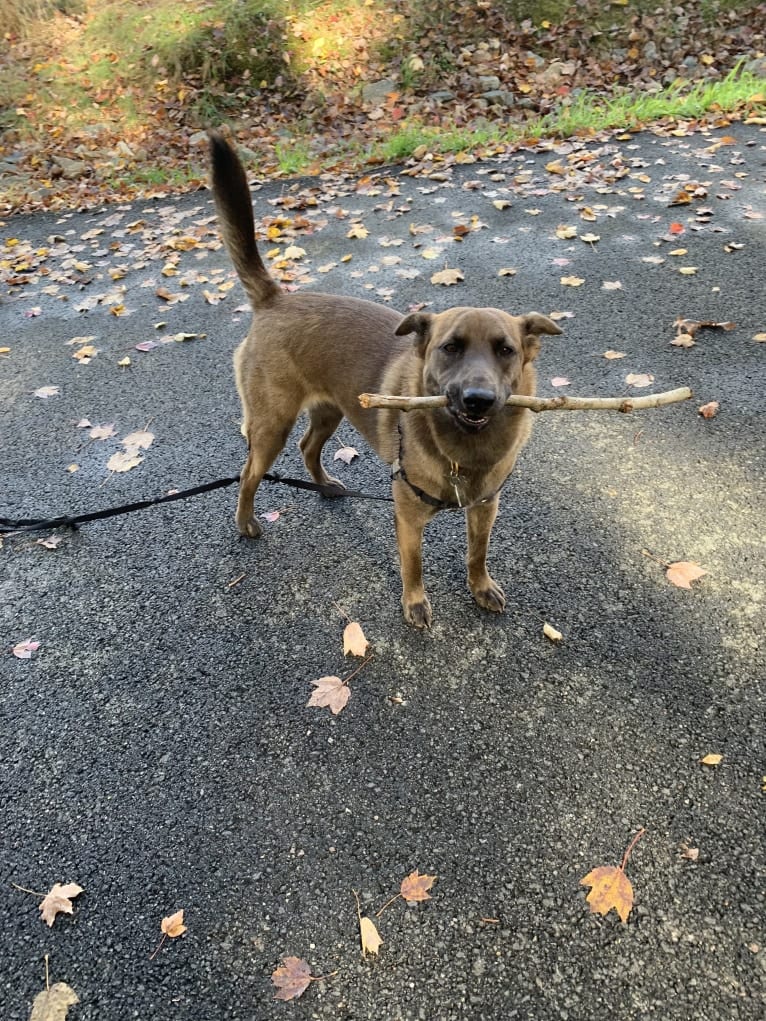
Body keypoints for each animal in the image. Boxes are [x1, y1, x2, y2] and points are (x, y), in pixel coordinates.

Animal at [210, 133, 563, 628]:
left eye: (506, 350)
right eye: (450, 347)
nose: (478, 399)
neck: (465, 450)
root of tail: (276, 299)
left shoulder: (485, 507)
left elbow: (477, 553)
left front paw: (480, 587)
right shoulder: (408, 511)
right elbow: (413, 564)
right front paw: (414, 603)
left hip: (330, 412)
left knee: (308, 448)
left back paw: (324, 485)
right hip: (270, 427)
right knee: (248, 473)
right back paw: (246, 523)